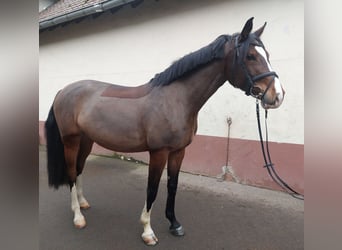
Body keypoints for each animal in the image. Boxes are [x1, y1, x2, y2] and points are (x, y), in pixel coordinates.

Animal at [44, 17, 286, 246]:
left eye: (267, 54)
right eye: (251, 56)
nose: (277, 96)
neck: (176, 99)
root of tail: (63, 90)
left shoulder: (178, 151)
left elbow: (172, 186)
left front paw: (174, 224)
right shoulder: (158, 152)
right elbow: (152, 190)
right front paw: (148, 232)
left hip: (86, 141)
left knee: (79, 169)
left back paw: (83, 203)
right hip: (71, 141)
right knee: (71, 172)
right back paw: (78, 217)